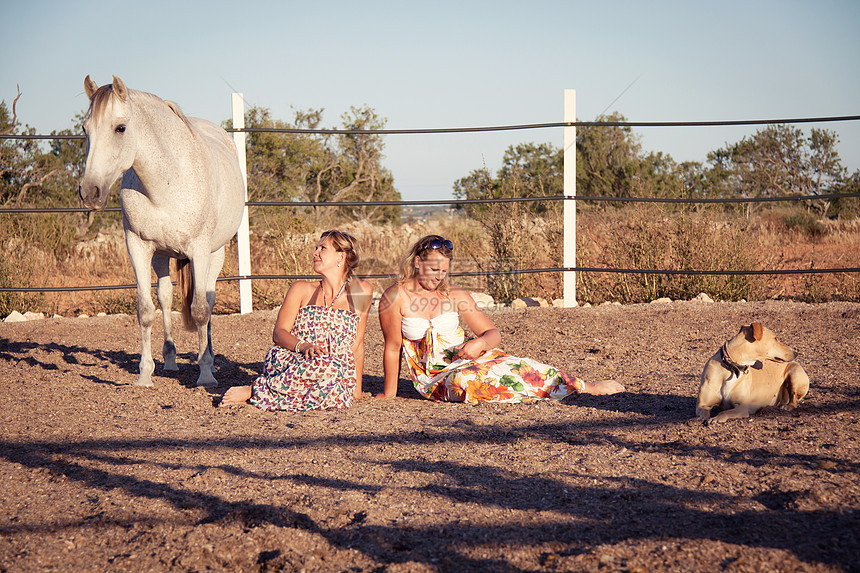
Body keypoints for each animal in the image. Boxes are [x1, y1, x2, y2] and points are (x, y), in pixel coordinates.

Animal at [79, 76, 245, 386]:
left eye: (120, 128)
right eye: (85, 129)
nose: (89, 191)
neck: (168, 182)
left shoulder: (200, 250)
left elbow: (200, 309)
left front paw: (206, 373)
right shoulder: (138, 246)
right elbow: (146, 310)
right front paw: (145, 374)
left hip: (215, 254)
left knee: (208, 299)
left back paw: (211, 359)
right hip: (161, 255)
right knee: (166, 297)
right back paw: (169, 360)